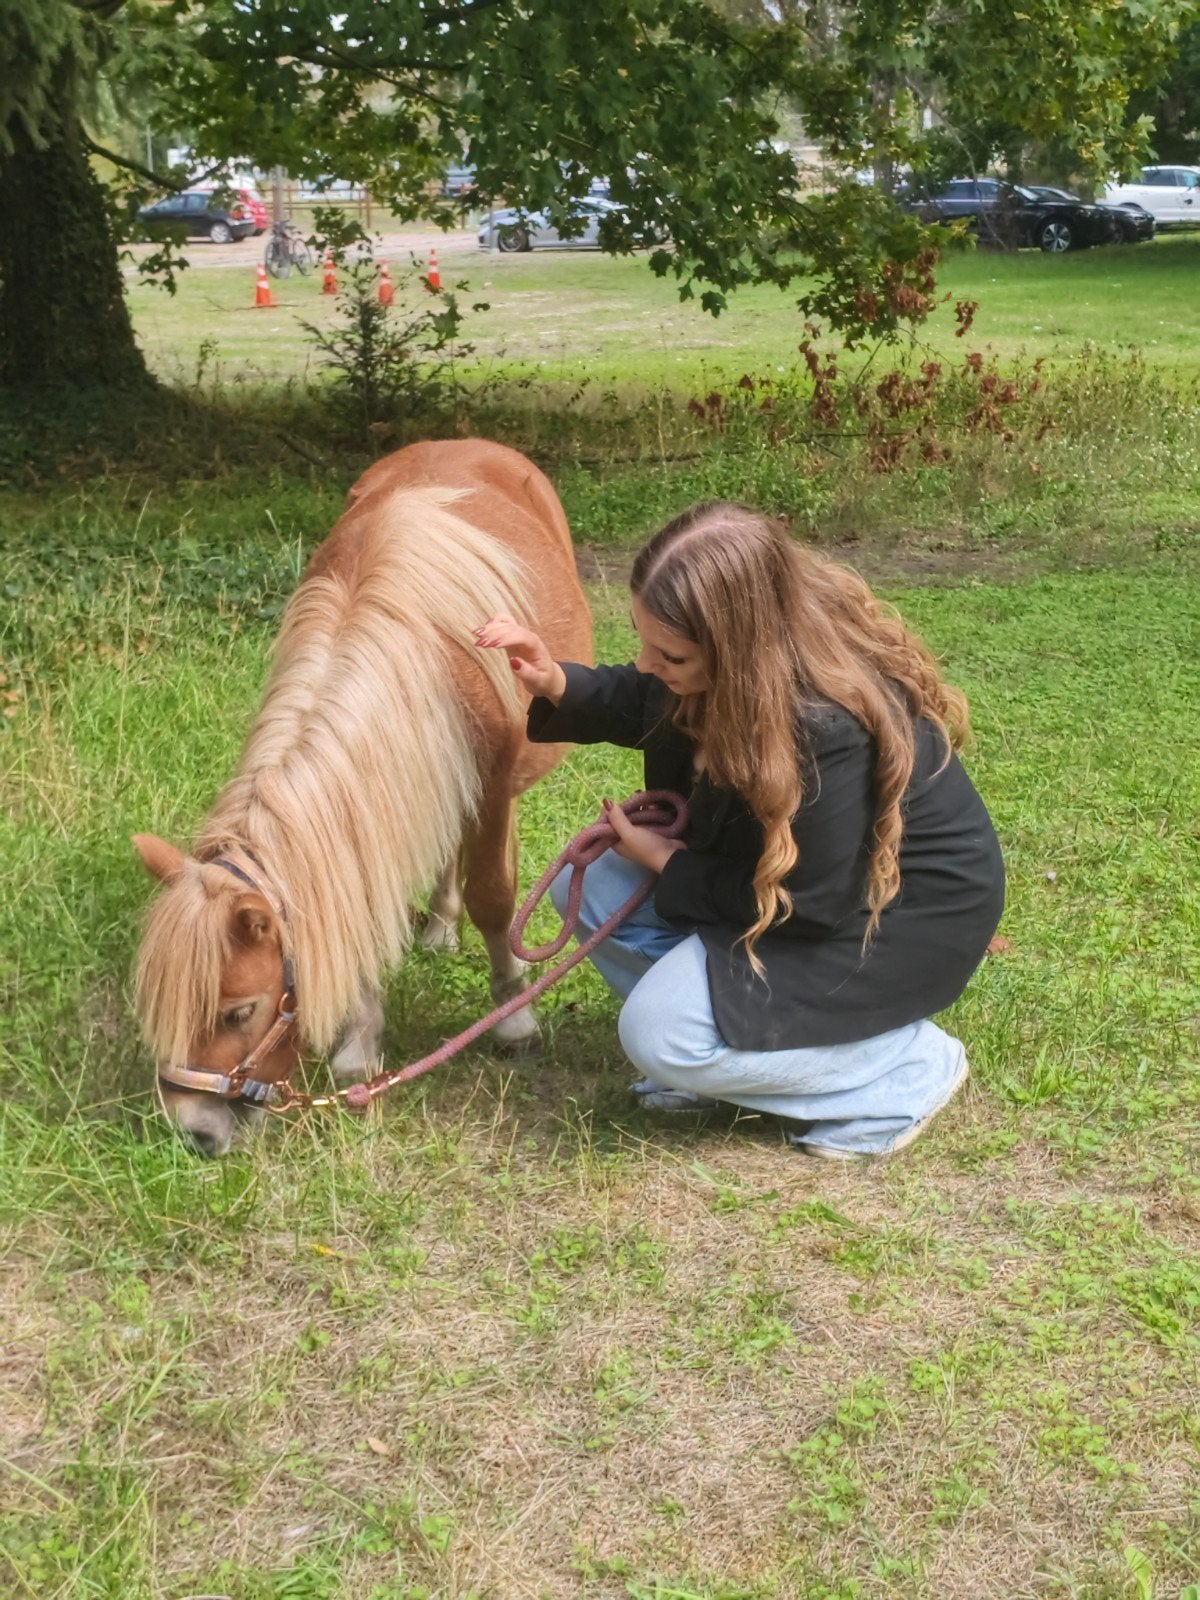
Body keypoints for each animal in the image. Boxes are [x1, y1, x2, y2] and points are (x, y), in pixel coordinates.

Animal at [133, 439, 593, 1157]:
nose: (194, 1133)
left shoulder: (491, 794)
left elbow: (494, 898)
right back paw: (438, 926)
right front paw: (362, 1042)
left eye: (239, 1011)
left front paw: (513, 1018)